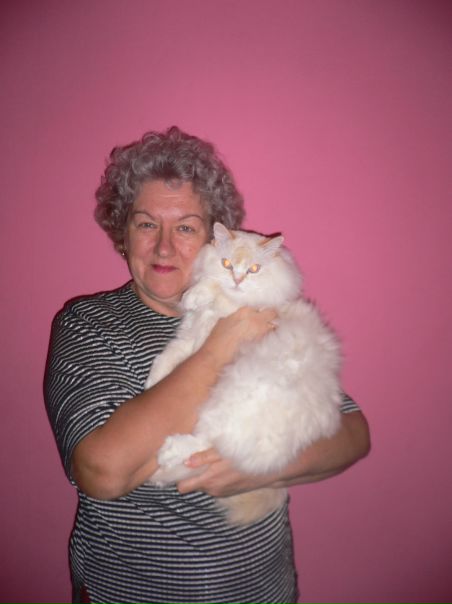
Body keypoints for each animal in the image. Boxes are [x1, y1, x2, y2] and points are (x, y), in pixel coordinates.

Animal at [144, 222, 342, 525]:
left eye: (254, 270)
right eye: (226, 264)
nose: (237, 280)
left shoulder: (236, 312)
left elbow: (214, 290)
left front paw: (195, 296)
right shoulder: (189, 339)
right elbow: (166, 358)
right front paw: (152, 383)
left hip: (235, 394)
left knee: (208, 441)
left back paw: (168, 452)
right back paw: (159, 474)